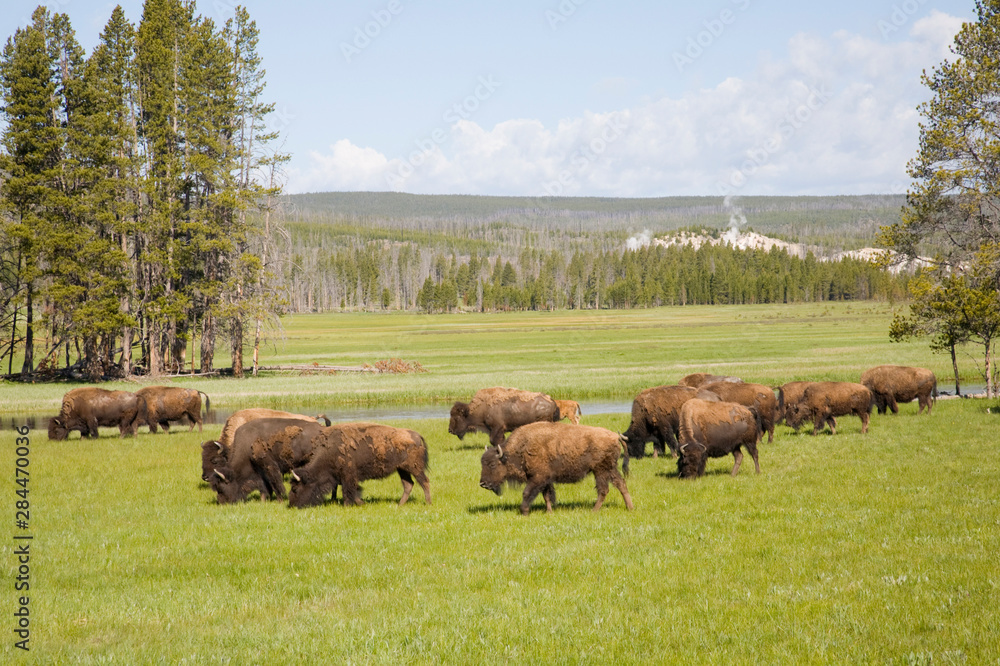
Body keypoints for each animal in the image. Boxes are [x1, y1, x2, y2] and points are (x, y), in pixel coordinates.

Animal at [476, 420, 632, 512]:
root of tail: (615, 436)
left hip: (600, 470)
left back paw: (594, 510)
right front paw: (549, 511)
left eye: (492, 464)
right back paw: (630, 507)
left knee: (603, 490)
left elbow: (527, 493)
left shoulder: (537, 478)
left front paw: (524, 511)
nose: (483, 483)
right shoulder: (545, 479)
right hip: (610, 469)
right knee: (621, 484)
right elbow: (546, 495)